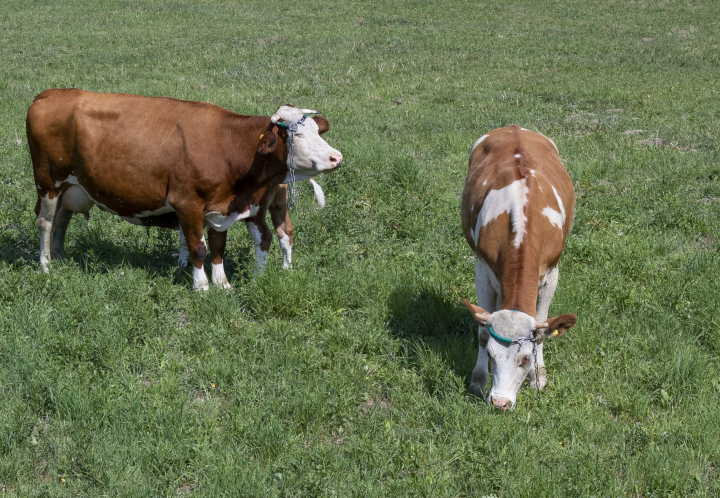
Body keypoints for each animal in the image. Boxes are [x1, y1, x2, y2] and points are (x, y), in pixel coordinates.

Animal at [26, 89, 343, 290]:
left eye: (318, 131)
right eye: (297, 135)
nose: (336, 157)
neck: (226, 144)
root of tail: (49, 93)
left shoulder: (219, 207)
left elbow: (218, 246)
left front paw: (223, 284)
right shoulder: (188, 203)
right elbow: (198, 247)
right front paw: (201, 287)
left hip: (71, 186)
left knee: (61, 220)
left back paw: (60, 256)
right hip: (47, 182)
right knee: (45, 222)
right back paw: (45, 265)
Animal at [460, 125, 577, 410]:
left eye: (525, 358)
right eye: (491, 356)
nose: (499, 403)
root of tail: (513, 127)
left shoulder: (552, 272)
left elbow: (543, 329)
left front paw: (538, 377)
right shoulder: (482, 270)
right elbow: (483, 331)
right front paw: (478, 381)